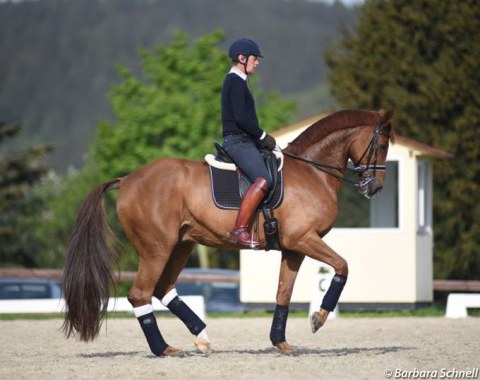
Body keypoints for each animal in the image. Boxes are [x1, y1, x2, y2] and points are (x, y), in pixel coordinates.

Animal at [62, 107, 394, 356]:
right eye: (381, 145)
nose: (376, 188)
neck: (313, 171)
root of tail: (127, 179)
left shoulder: (293, 248)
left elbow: (283, 293)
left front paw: (281, 343)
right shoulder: (304, 239)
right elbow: (342, 267)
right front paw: (319, 318)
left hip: (181, 245)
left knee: (162, 289)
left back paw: (202, 338)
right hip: (157, 247)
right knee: (140, 294)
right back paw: (164, 348)